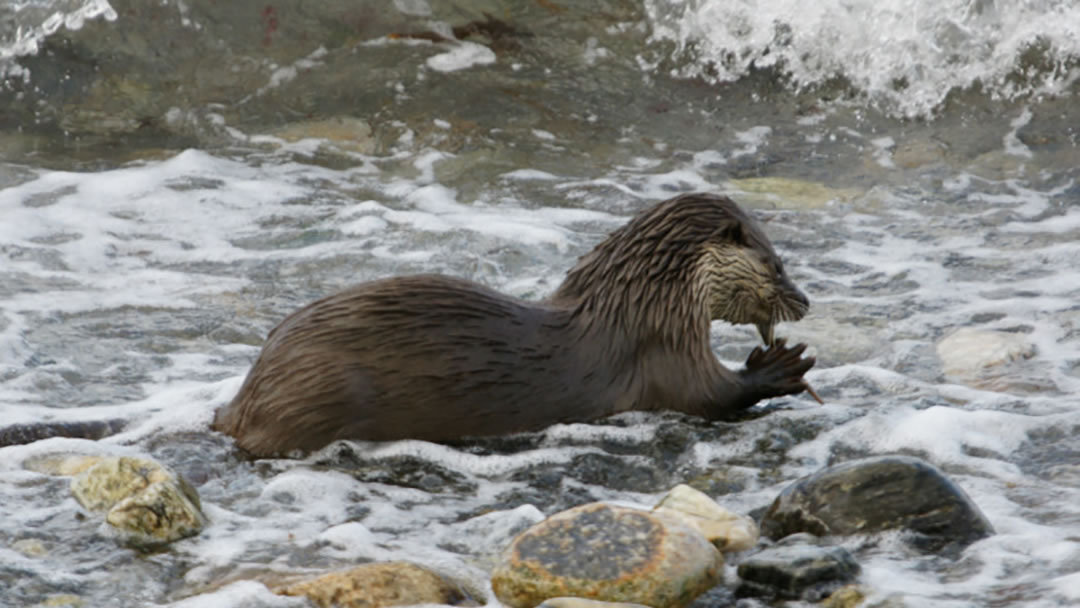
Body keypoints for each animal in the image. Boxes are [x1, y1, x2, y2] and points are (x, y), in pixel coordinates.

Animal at [210, 195, 812, 457]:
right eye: (778, 264)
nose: (805, 300)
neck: (643, 301)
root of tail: (248, 392)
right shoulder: (667, 354)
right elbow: (711, 396)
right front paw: (781, 366)